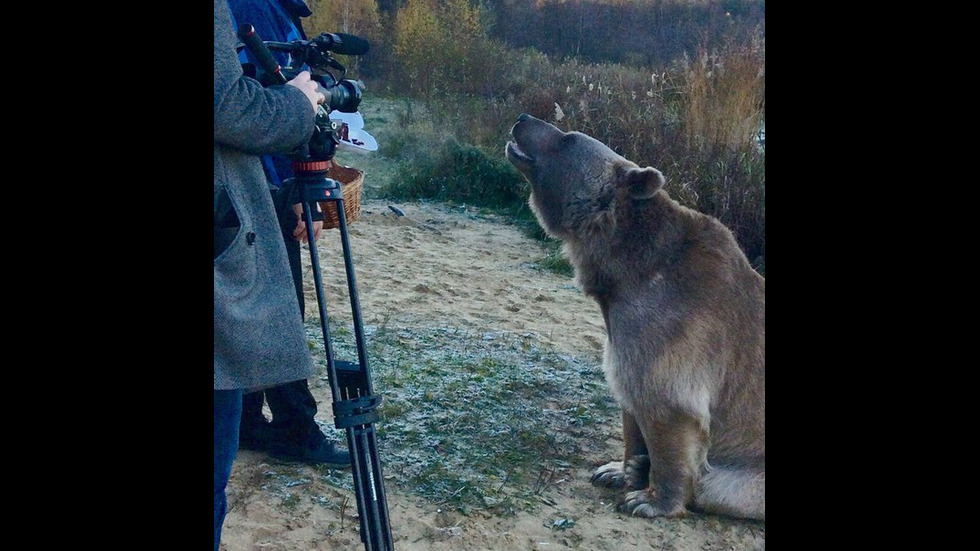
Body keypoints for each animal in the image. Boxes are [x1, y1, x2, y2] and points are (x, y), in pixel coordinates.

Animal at [506, 113, 764, 520]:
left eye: (569, 138)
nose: (523, 119)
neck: (624, 270)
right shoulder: (621, 329)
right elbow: (628, 400)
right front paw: (619, 470)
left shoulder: (678, 321)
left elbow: (665, 401)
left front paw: (649, 499)